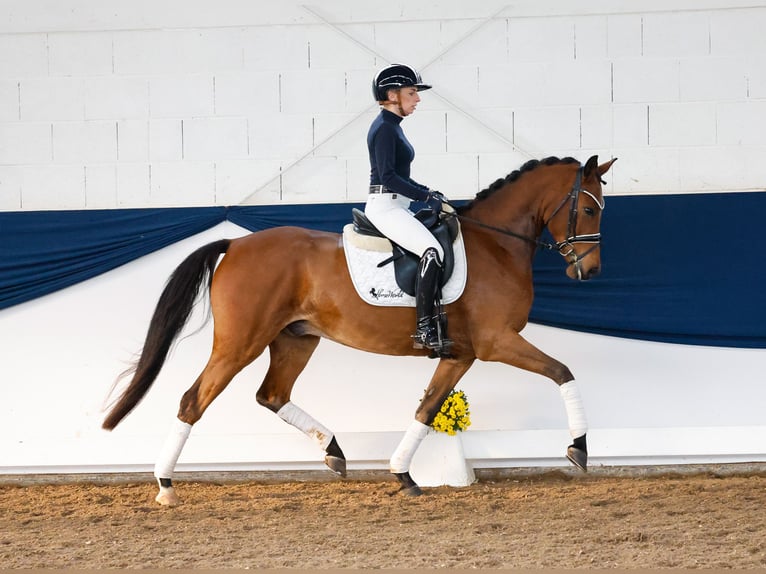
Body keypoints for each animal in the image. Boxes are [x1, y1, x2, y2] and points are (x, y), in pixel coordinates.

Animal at [102, 155, 616, 506]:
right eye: (591, 211)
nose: (589, 272)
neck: (496, 244)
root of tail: (236, 243)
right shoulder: (496, 342)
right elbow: (563, 372)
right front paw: (579, 448)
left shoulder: (461, 354)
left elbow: (427, 409)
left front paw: (402, 475)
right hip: (239, 343)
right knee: (194, 400)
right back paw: (166, 486)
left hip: (295, 339)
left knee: (271, 395)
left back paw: (334, 451)